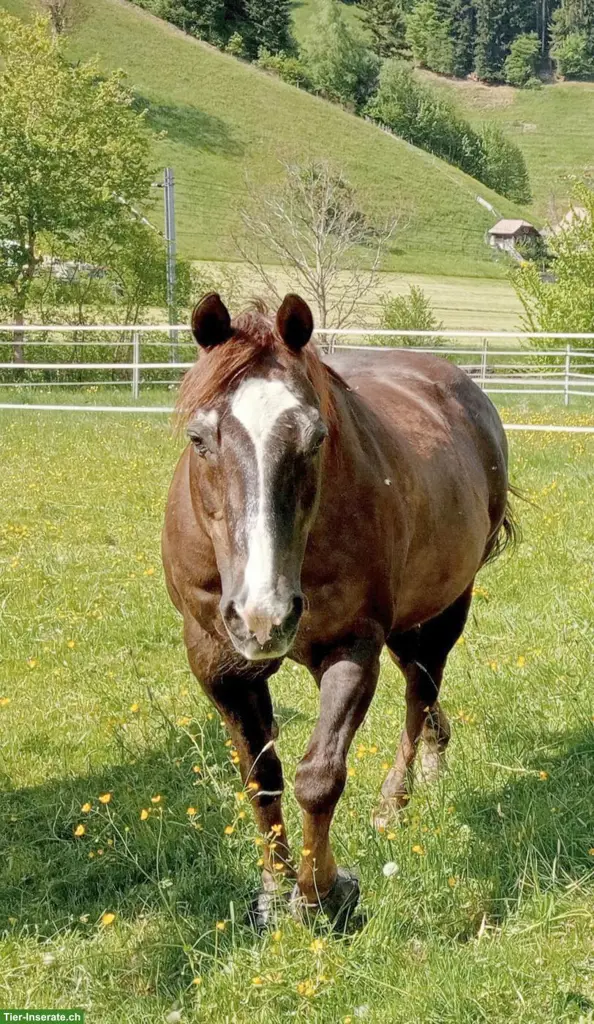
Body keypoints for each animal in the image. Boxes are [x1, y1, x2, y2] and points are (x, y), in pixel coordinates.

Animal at [162, 292, 515, 927]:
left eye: (316, 438)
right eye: (200, 439)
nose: (263, 616)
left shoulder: (352, 648)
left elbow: (319, 777)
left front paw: (320, 893)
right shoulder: (217, 664)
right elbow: (261, 777)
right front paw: (274, 887)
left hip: (448, 606)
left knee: (419, 692)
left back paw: (395, 802)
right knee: (422, 692)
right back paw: (436, 755)